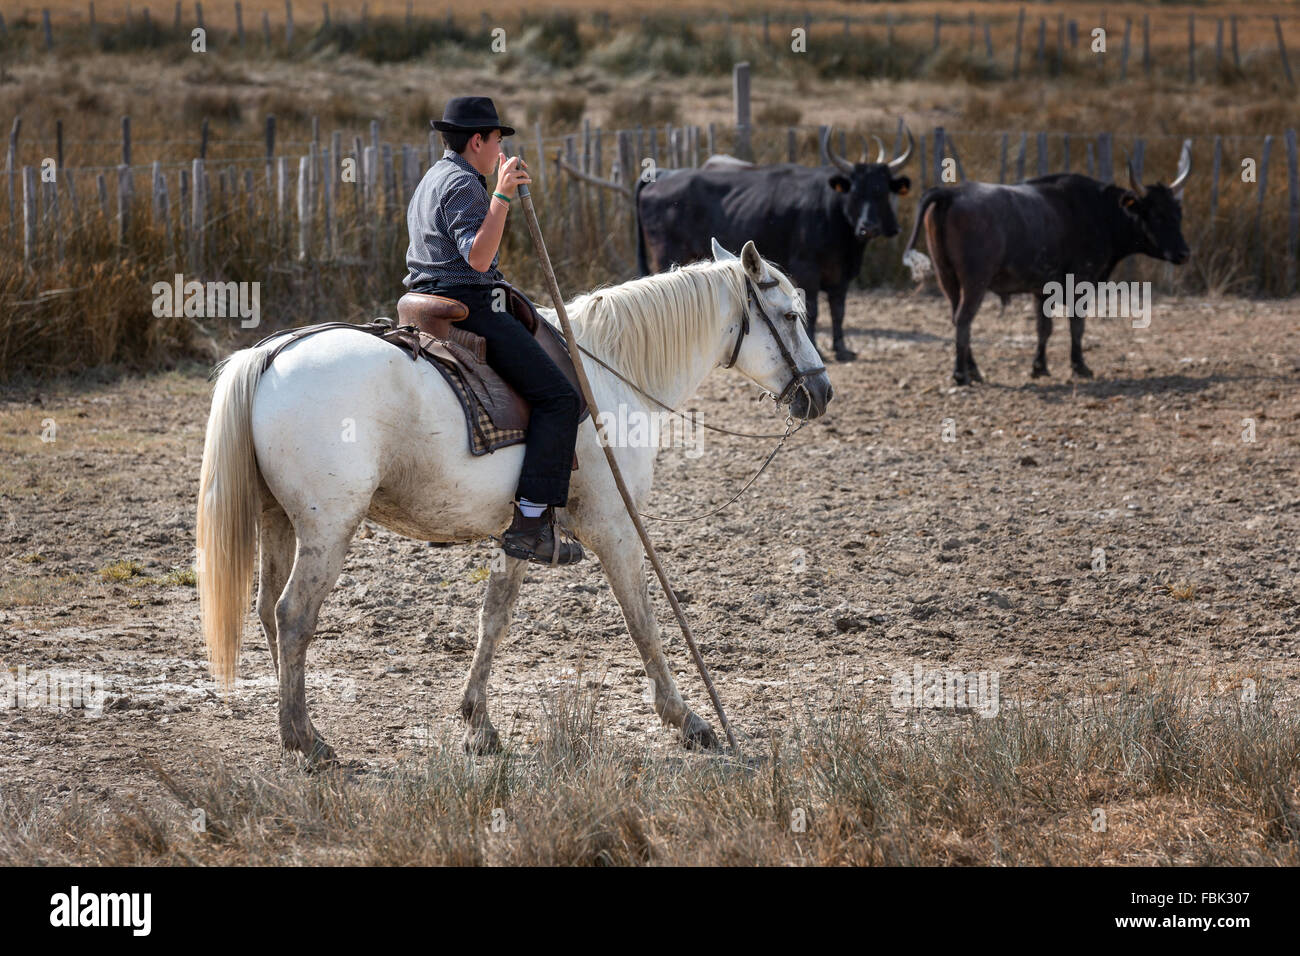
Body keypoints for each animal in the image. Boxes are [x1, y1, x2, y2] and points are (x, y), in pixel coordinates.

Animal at [200, 239, 832, 764]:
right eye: (791, 316)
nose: (821, 391)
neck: (606, 374)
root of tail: (272, 354)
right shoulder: (615, 527)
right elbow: (644, 622)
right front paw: (689, 720)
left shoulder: (520, 530)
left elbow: (494, 617)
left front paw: (478, 725)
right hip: (329, 529)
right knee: (293, 616)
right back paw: (305, 739)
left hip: (279, 521)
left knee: (267, 611)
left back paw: (295, 726)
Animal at [634, 127, 909, 361]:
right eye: (855, 192)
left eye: (883, 192)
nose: (868, 227)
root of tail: (665, 173)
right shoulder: (807, 269)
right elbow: (812, 308)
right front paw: (817, 345)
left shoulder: (841, 274)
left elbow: (838, 309)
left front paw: (841, 348)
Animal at [904, 139, 1190, 385]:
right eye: (1157, 214)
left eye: (1178, 213)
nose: (1184, 253)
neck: (1097, 211)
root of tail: (951, 193)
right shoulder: (1080, 283)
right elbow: (1076, 326)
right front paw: (1079, 366)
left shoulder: (1042, 289)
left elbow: (1044, 328)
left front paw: (1039, 366)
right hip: (975, 282)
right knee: (964, 320)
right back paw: (961, 374)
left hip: (947, 279)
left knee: (956, 318)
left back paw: (973, 370)